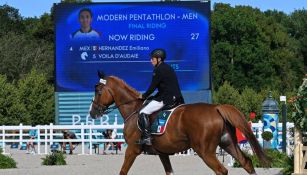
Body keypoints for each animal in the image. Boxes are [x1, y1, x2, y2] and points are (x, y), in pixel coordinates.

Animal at [89, 74, 270, 174]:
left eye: (98, 91)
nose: (92, 112)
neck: (134, 109)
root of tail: (216, 108)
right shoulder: (162, 153)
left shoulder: (132, 150)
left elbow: (123, 171)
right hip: (228, 143)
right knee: (246, 163)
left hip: (205, 151)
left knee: (222, 170)